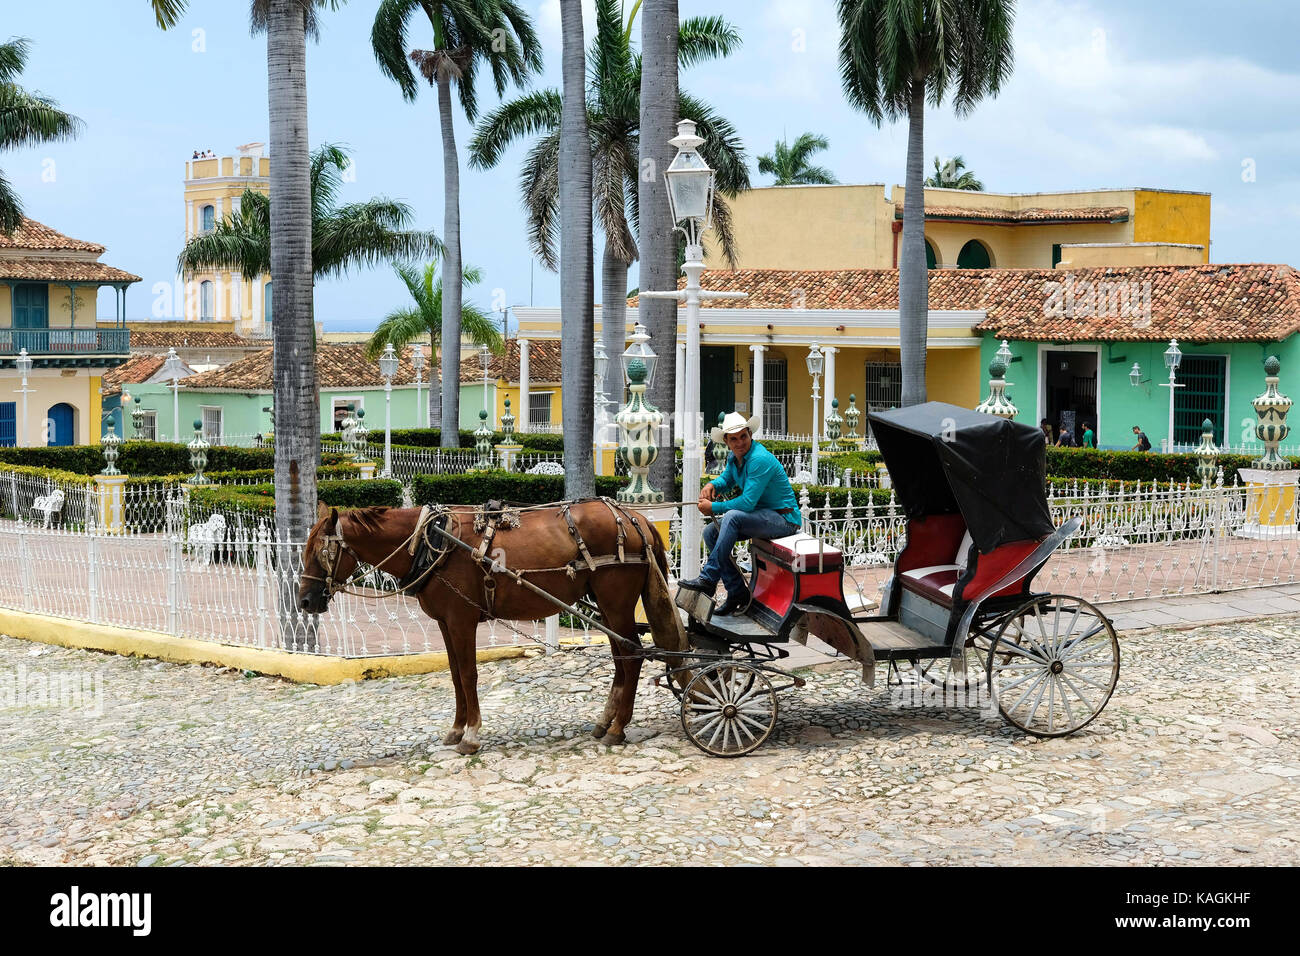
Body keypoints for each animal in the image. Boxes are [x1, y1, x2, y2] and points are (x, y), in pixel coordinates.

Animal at [299, 502, 691, 754]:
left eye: (321, 552)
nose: (304, 601)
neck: (432, 542)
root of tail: (635, 518)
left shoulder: (462, 619)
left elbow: (469, 674)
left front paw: (471, 736)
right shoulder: (445, 623)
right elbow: (455, 675)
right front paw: (456, 729)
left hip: (616, 602)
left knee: (631, 656)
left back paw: (618, 729)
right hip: (605, 607)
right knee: (620, 659)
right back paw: (605, 723)